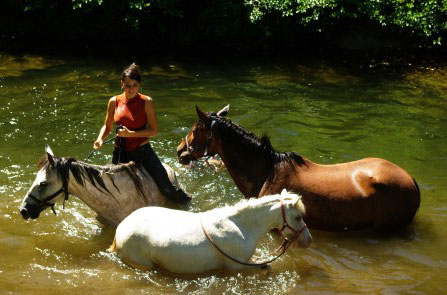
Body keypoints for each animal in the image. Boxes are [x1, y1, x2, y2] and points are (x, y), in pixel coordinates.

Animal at [109, 190, 312, 276]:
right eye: (298, 217)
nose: (308, 240)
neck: (241, 227)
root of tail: (120, 229)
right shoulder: (237, 266)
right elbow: (266, 267)